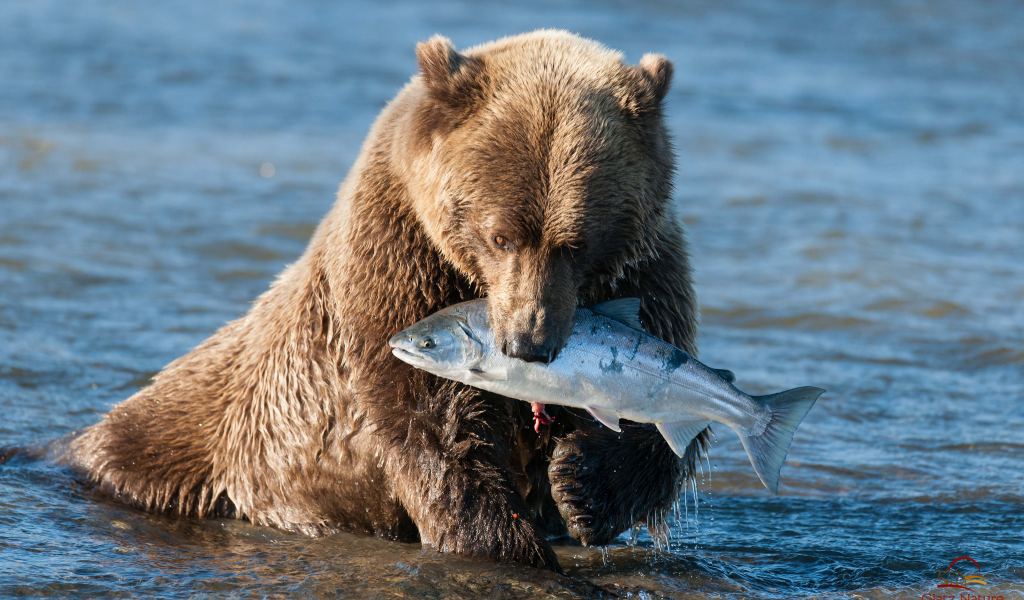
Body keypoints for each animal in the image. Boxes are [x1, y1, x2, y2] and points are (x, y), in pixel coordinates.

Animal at [61, 31, 704, 569]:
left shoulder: (645, 272)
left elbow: (664, 409)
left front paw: (580, 484)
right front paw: (505, 542)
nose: (529, 342)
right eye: (501, 235)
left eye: (577, 243)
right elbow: (433, 419)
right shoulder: (398, 261)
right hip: (199, 437)